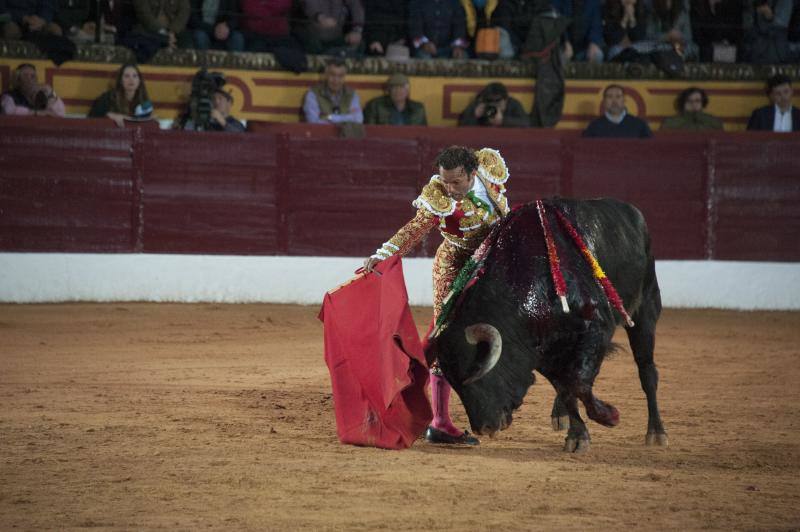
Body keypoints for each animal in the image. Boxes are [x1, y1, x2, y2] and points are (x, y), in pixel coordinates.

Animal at [432, 200, 668, 454]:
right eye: (455, 384)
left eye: (475, 374)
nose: (484, 427)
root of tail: (634, 213)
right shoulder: (541, 351)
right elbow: (566, 388)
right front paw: (577, 435)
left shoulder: (597, 329)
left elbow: (578, 384)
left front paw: (609, 415)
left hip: (646, 307)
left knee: (646, 371)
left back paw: (656, 432)